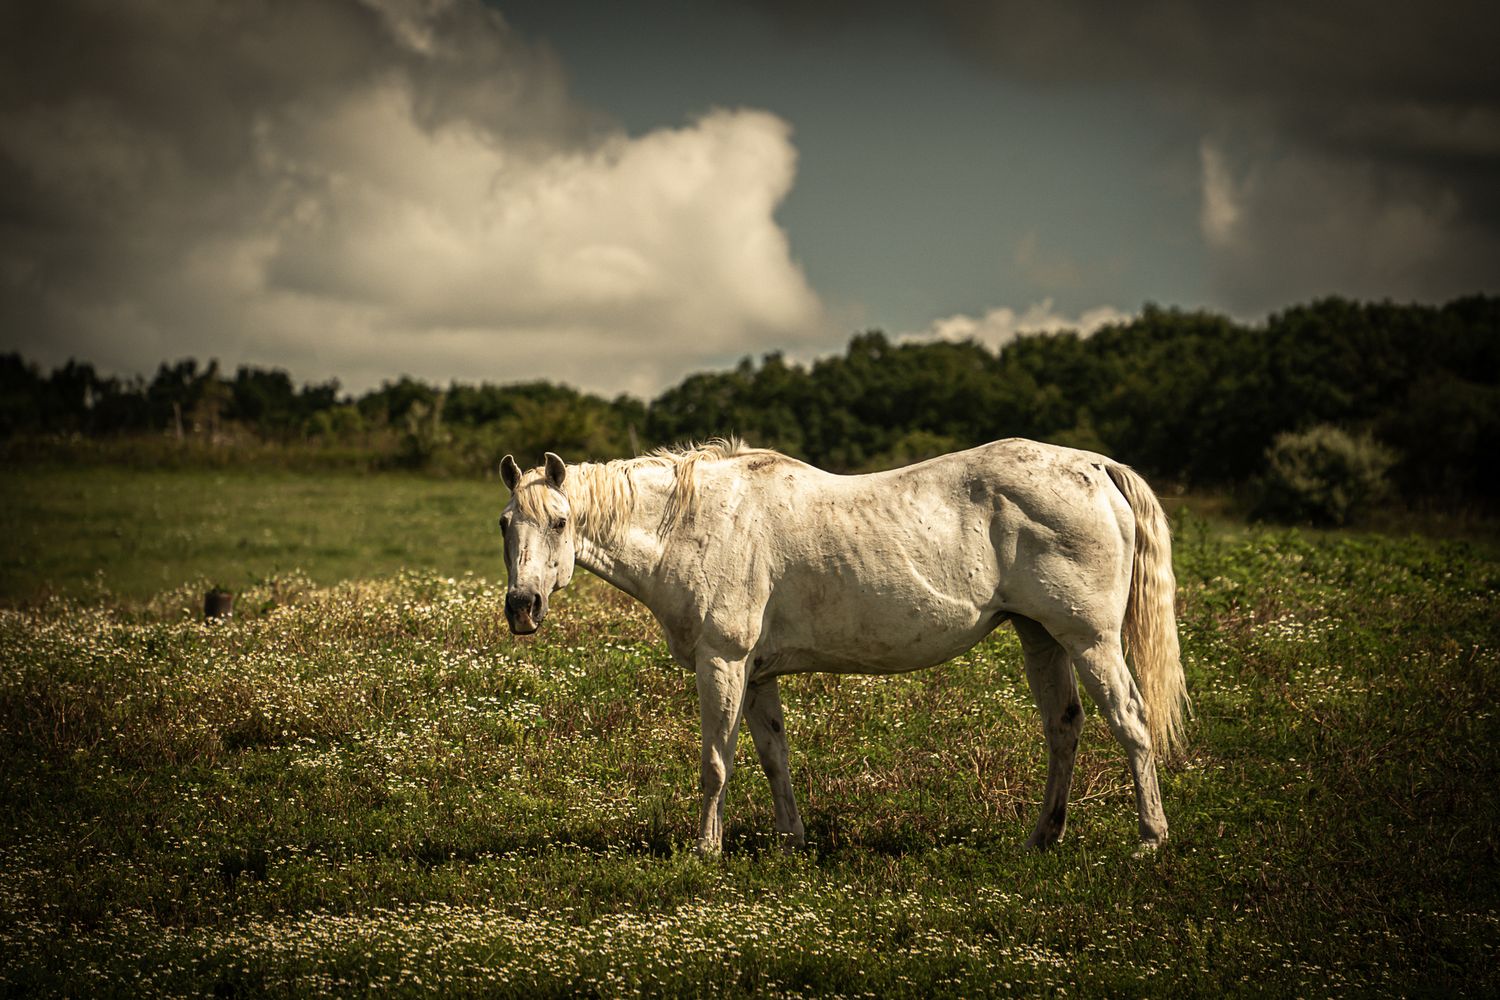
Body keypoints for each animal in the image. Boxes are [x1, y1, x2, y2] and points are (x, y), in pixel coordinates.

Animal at [497, 438, 1189, 855]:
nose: (522, 608)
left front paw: (705, 851)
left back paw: (1150, 838)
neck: (693, 524)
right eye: (505, 523)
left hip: (1089, 639)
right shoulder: (757, 673)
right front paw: (792, 842)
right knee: (1064, 728)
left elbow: (716, 762)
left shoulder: (721, 662)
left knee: (1130, 722)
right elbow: (773, 757)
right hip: (1041, 636)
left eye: (559, 520)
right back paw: (1042, 837)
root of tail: (1095, 467)